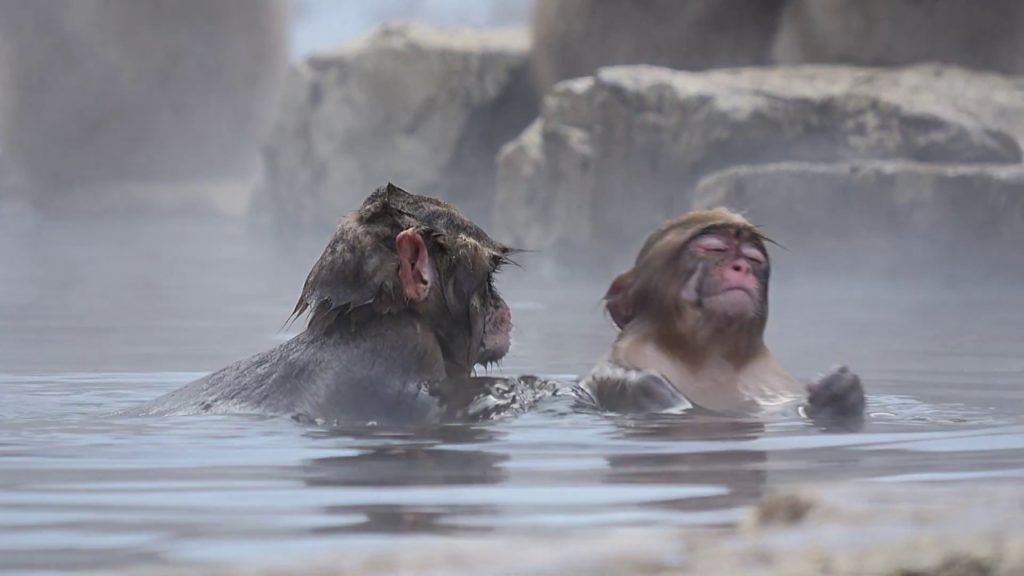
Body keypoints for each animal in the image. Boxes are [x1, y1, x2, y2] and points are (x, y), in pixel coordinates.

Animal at [577, 207, 865, 430]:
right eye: (714, 248)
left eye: (753, 258)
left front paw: (841, 392)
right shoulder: (619, 375)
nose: (742, 267)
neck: (709, 359)